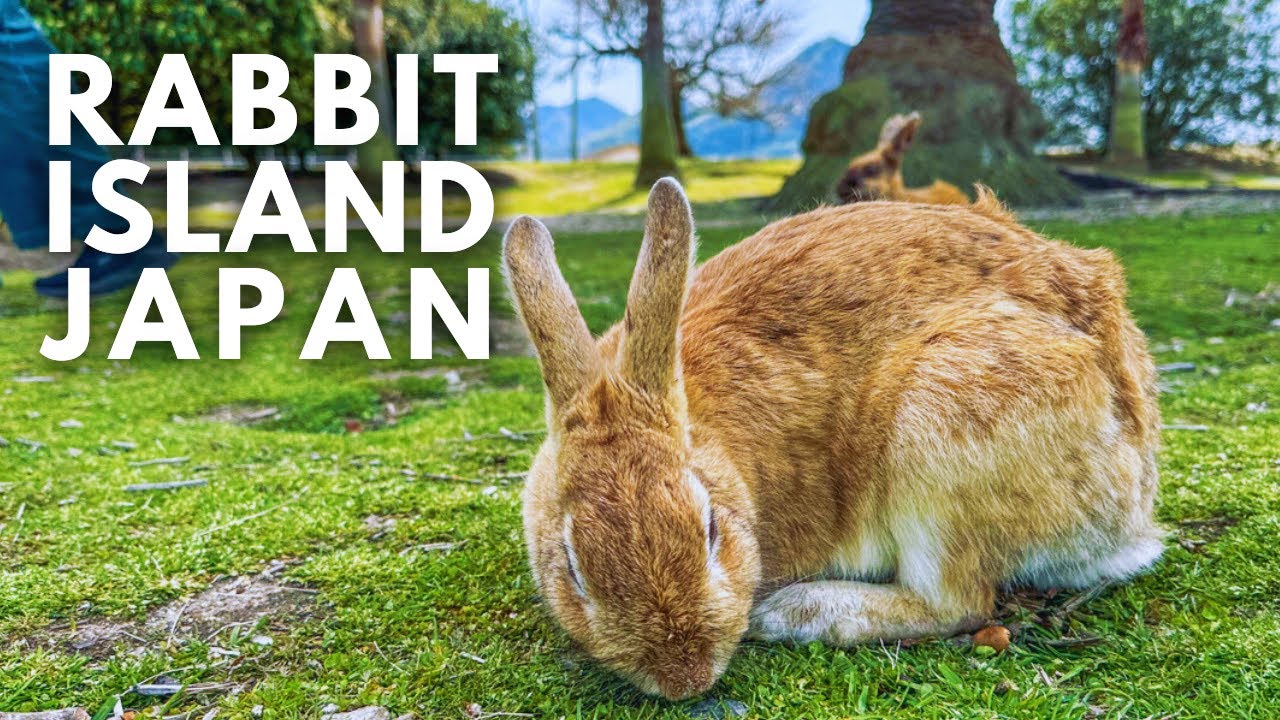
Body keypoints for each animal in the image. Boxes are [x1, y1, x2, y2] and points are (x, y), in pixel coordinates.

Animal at [503, 178, 1162, 700]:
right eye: (572, 567)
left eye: (710, 529)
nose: (685, 680)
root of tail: (1131, 501)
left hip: (938, 427)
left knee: (958, 602)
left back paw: (795, 612)